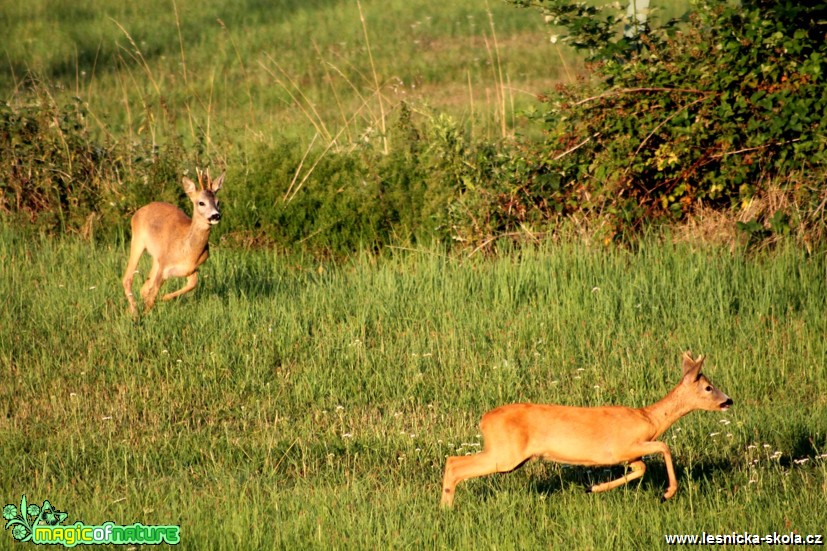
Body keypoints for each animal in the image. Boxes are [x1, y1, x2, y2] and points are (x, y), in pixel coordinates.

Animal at [121, 168, 225, 314]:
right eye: (201, 202)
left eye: (218, 201)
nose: (216, 215)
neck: (187, 250)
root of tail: (139, 210)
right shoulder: (164, 265)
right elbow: (153, 294)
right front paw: (145, 315)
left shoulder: (190, 268)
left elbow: (192, 284)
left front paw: (164, 298)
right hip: (138, 241)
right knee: (128, 278)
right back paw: (135, 311)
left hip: (156, 258)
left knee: (144, 287)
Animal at [444, 354, 736, 504]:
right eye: (708, 387)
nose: (729, 400)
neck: (649, 420)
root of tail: (484, 419)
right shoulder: (624, 446)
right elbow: (664, 447)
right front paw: (667, 493)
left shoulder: (630, 455)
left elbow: (641, 468)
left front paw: (593, 488)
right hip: (506, 455)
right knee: (456, 464)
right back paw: (447, 509)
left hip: (505, 454)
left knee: (452, 460)